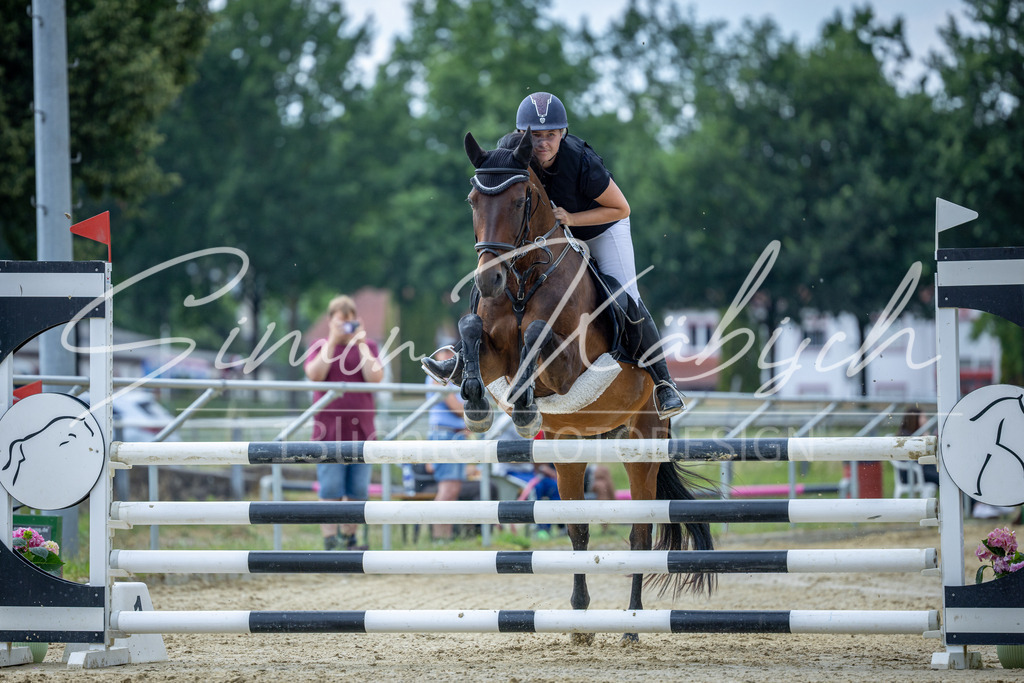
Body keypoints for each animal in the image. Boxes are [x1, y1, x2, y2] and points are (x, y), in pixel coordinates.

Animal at [456, 130, 716, 644]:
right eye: (474, 200)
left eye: (519, 201)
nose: (489, 278)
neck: (525, 279)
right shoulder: (494, 351)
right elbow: (471, 326)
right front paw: (475, 399)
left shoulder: (571, 366)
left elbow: (537, 336)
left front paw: (523, 404)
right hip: (568, 450)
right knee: (577, 529)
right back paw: (580, 620)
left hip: (642, 444)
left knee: (639, 535)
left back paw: (632, 623)